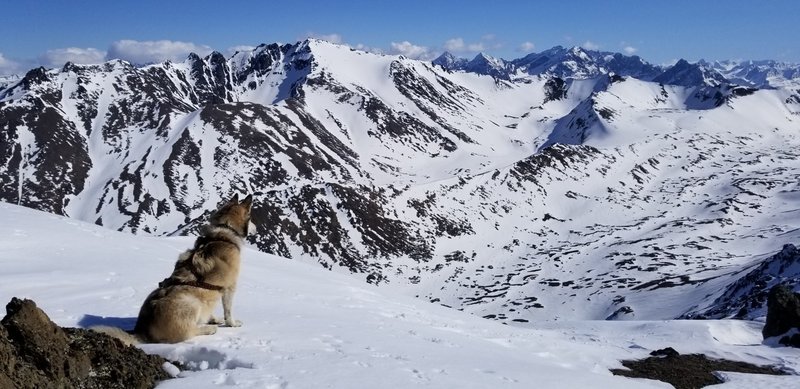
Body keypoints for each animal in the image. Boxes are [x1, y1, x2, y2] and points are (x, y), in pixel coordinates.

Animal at [95, 193, 255, 342]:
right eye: (251, 218)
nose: (256, 228)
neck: (225, 231)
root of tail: (143, 331)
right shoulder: (230, 287)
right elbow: (228, 311)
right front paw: (231, 323)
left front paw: (213, 318)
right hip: (191, 302)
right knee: (189, 332)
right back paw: (208, 329)